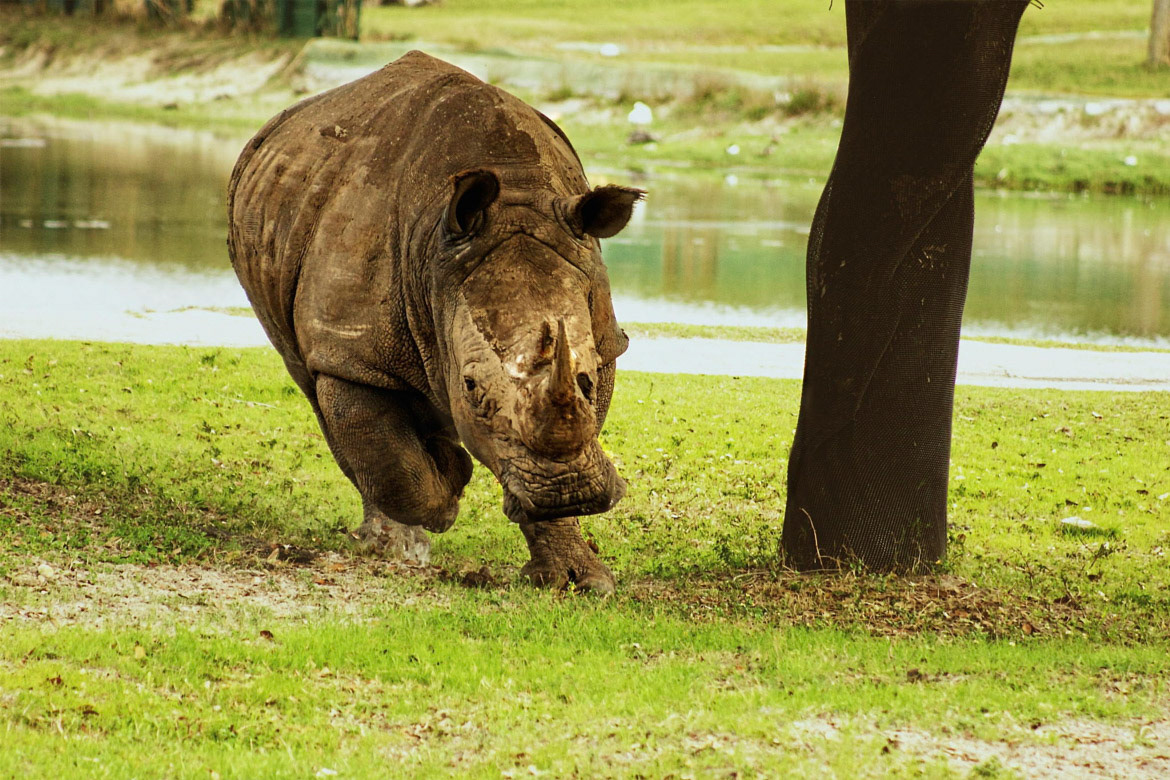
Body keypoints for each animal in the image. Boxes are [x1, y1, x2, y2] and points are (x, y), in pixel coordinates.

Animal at [227, 52, 641, 593]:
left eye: (589, 379)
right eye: (470, 386)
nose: (568, 492)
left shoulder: (603, 336)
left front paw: (577, 579)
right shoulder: (350, 353)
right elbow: (389, 459)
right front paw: (447, 486)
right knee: (316, 387)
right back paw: (392, 541)